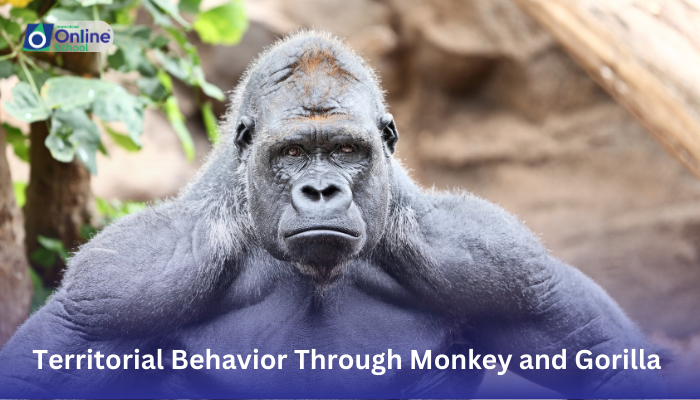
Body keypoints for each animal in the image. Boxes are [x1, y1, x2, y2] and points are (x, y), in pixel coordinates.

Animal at [0, 30, 666, 398]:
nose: (320, 190)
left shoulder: (500, 264)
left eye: (345, 151)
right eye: (293, 153)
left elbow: (610, 364)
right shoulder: (126, 281)